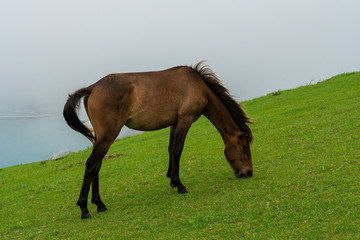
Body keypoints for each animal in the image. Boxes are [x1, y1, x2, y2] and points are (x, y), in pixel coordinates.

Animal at [63, 61, 253, 219]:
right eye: (244, 148)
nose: (249, 173)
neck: (199, 86)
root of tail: (93, 87)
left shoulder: (175, 123)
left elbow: (170, 149)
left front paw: (171, 179)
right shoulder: (185, 119)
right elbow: (178, 150)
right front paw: (179, 185)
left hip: (100, 137)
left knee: (97, 165)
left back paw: (99, 204)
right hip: (108, 135)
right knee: (92, 164)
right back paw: (84, 209)